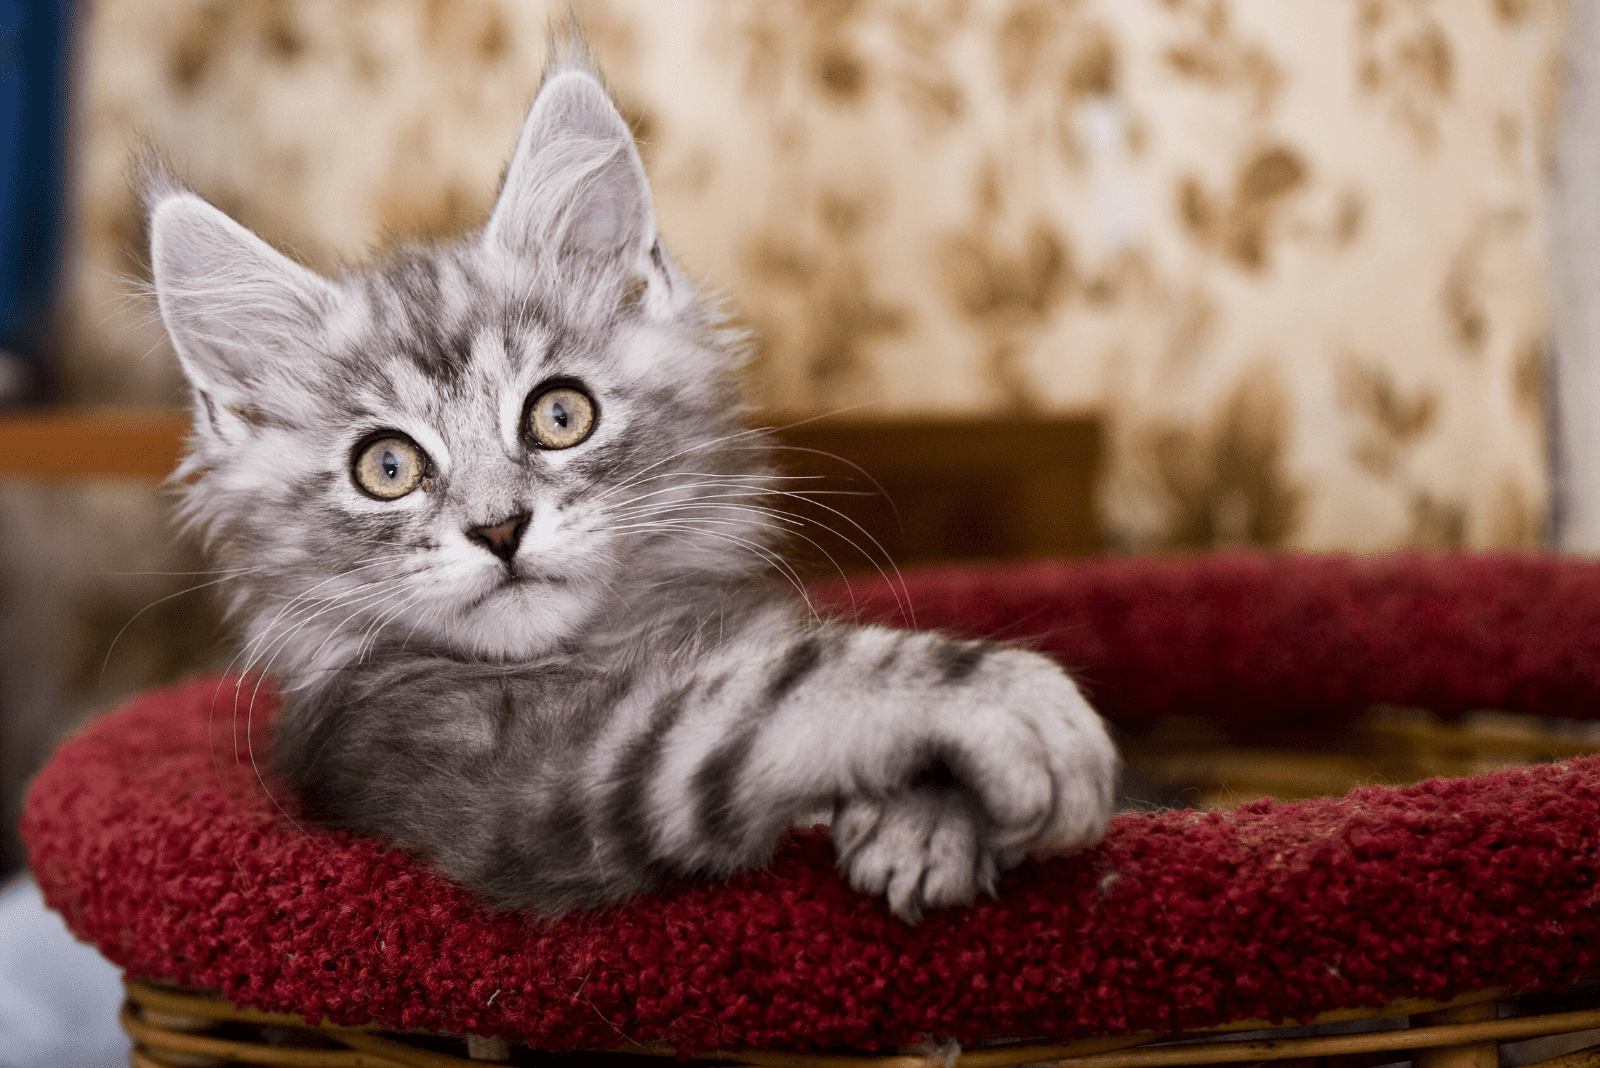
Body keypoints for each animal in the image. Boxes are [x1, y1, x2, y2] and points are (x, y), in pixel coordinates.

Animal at [144, 41, 1120, 920]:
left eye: (559, 415)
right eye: (388, 468)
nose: (499, 527)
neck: (611, 651)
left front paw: (925, 823)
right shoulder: (503, 777)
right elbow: (765, 698)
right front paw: (997, 703)